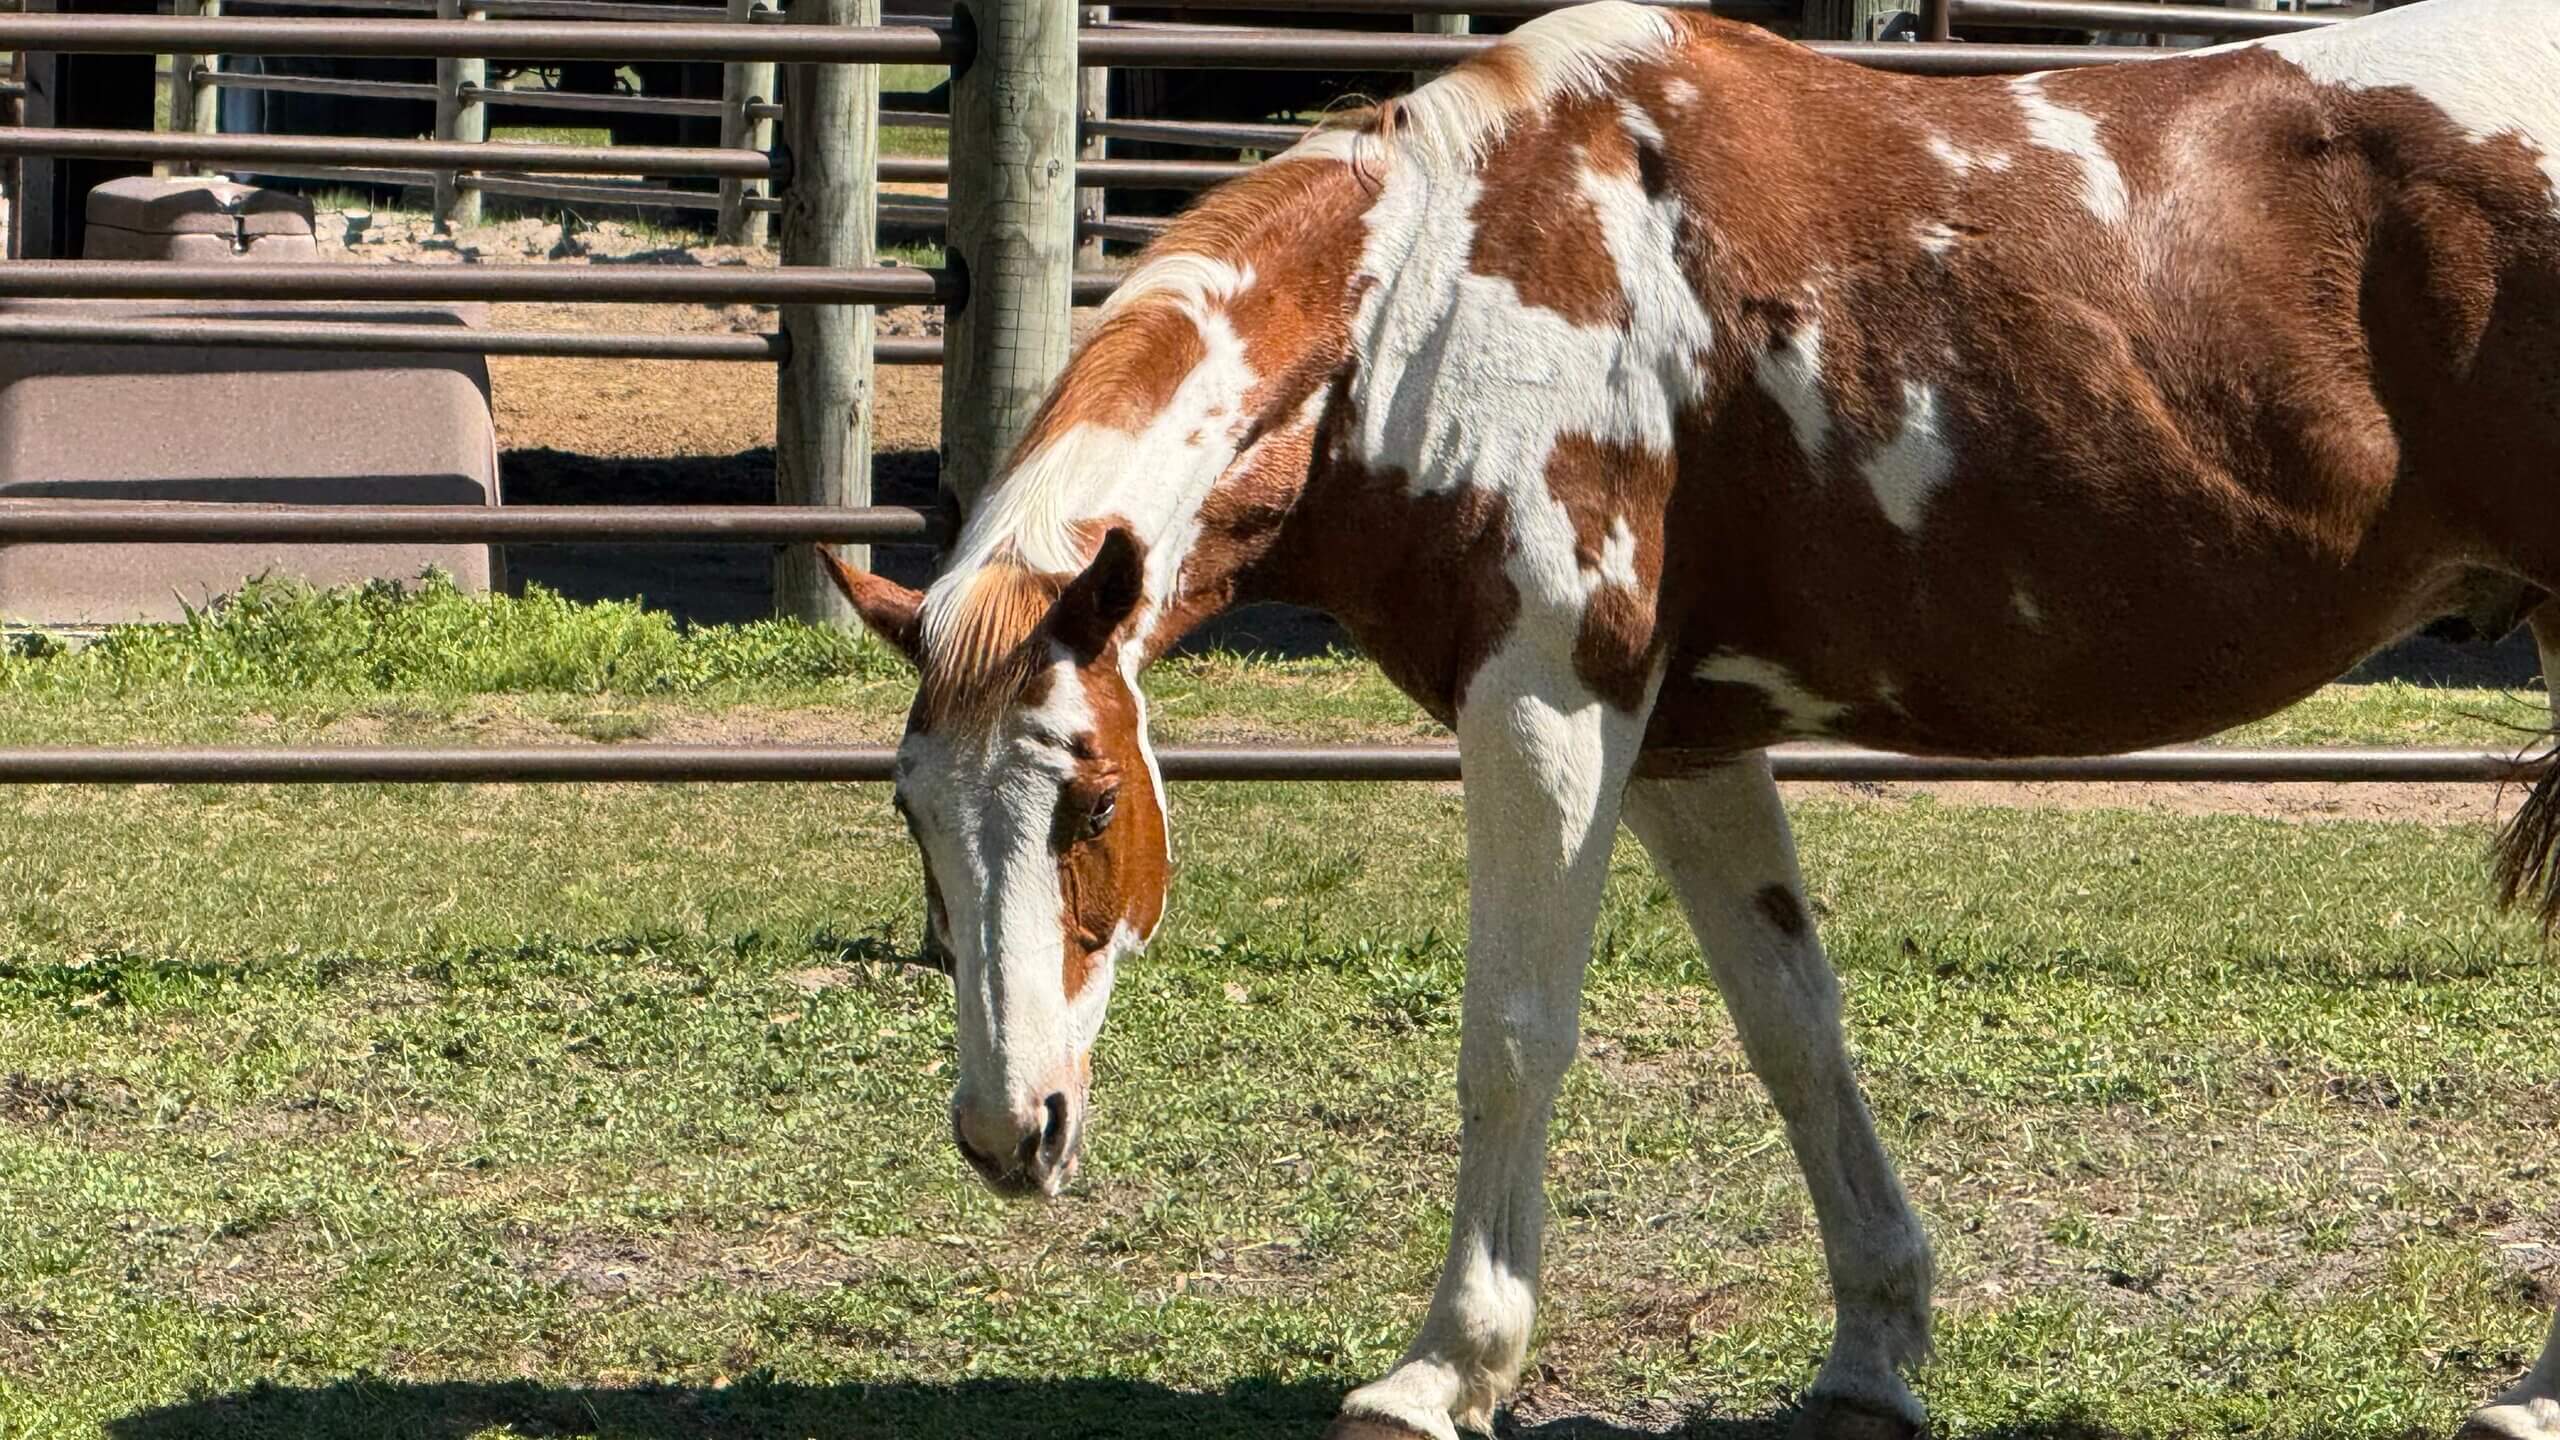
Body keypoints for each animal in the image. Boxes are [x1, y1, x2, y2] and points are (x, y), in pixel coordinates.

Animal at [816, 0, 2560, 1434]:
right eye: (914, 815)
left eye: (1094, 802)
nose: (1009, 1130)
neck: (1435, 293)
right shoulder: (1682, 743)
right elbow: (1794, 1030)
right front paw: (1872, 1355)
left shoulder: (1546, 705)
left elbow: (1513, 1039)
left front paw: (1443, 1372)